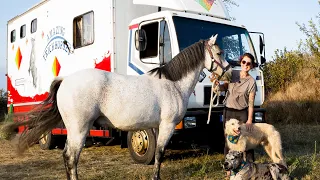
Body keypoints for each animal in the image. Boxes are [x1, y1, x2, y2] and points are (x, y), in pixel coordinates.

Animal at [1, 34, 228, 179]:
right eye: (219, 52)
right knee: (71, 157)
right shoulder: (167, 126)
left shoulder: (156, 126)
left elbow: (156, 154)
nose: (227, 72)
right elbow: (160, 154)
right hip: (78, 129)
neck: (172, 84)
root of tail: (65, 80)